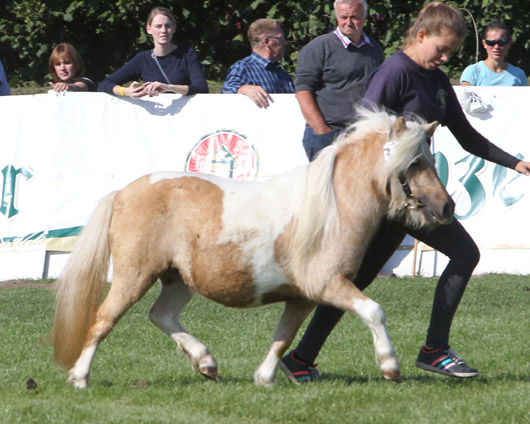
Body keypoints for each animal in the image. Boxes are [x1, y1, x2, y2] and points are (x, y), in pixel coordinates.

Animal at [52, 108, 450, 388]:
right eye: (414, 163)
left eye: (431, 160)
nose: (447, 208)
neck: (331, 208)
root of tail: (123, 192)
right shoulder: (329, 285)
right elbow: (374, 311)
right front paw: (390, 365)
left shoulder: (301, 297)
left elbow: (282, 337)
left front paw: (264, 378)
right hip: (133, 276)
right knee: (103, 320)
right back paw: (79, 378)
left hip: (178, 279)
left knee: (161, 315)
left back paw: (206, 362)